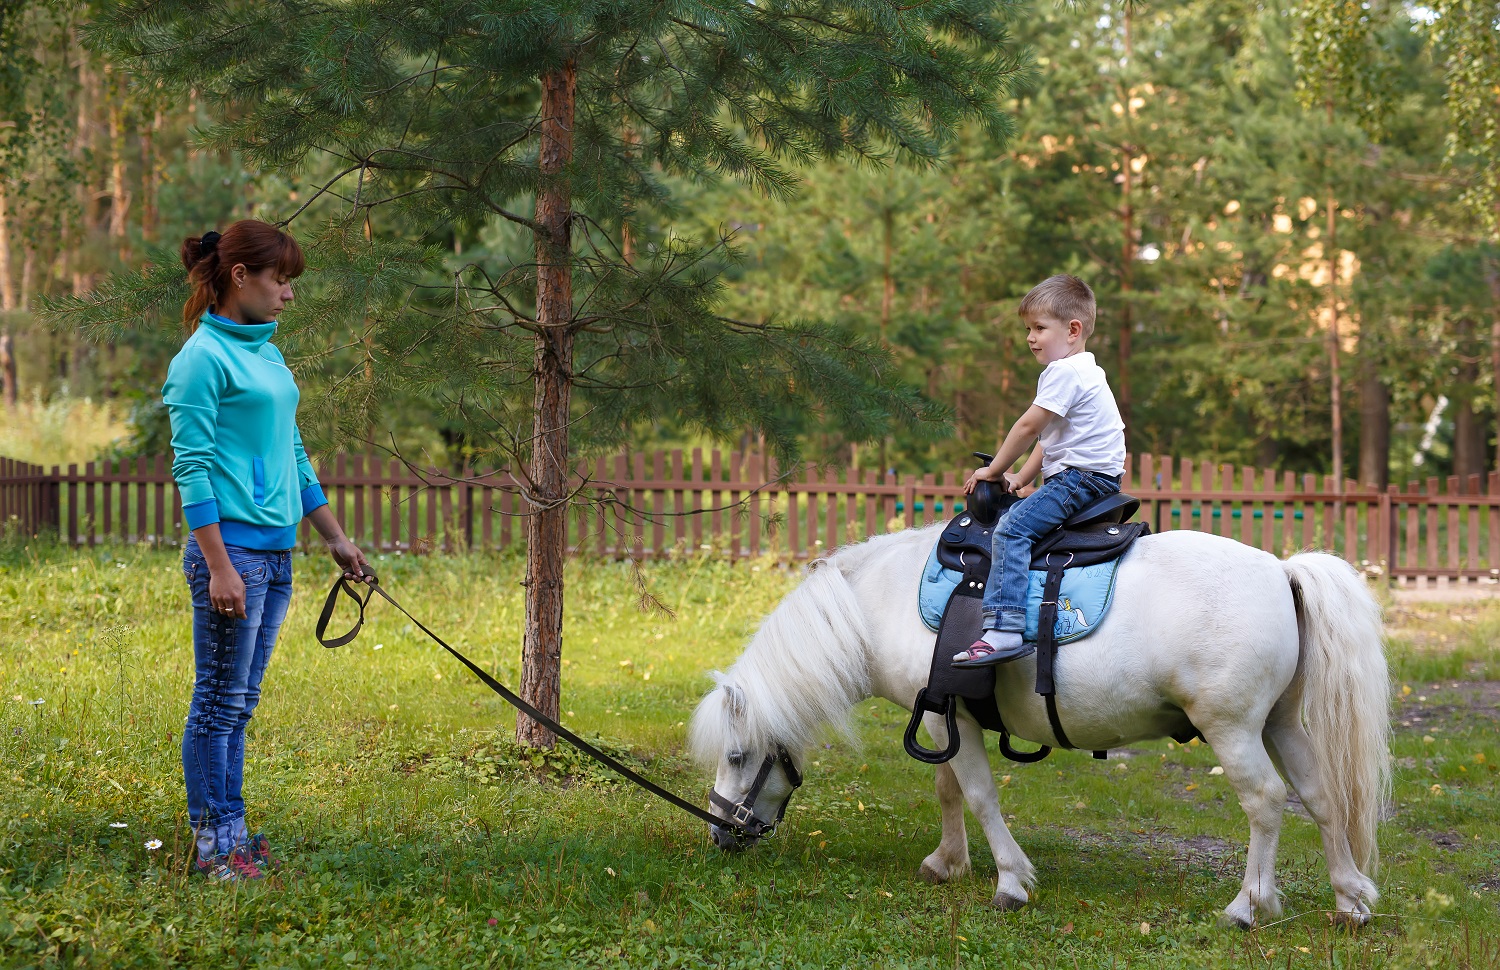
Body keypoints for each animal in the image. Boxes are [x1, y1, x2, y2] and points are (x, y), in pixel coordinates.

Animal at [688, 524, 1391, 928]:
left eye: (737, 754)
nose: (721, 832)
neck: (878, 601)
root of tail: (1281, 569)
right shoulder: (944, 721)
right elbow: (949, 791)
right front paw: (948, 862)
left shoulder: (947, 716)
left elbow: (978, 794)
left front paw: (1010, 882)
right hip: (1280, 723)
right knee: (1321, 798)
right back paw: (1349, 899)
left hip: (1234, 728)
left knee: (1266, 802)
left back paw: (1249, 905)